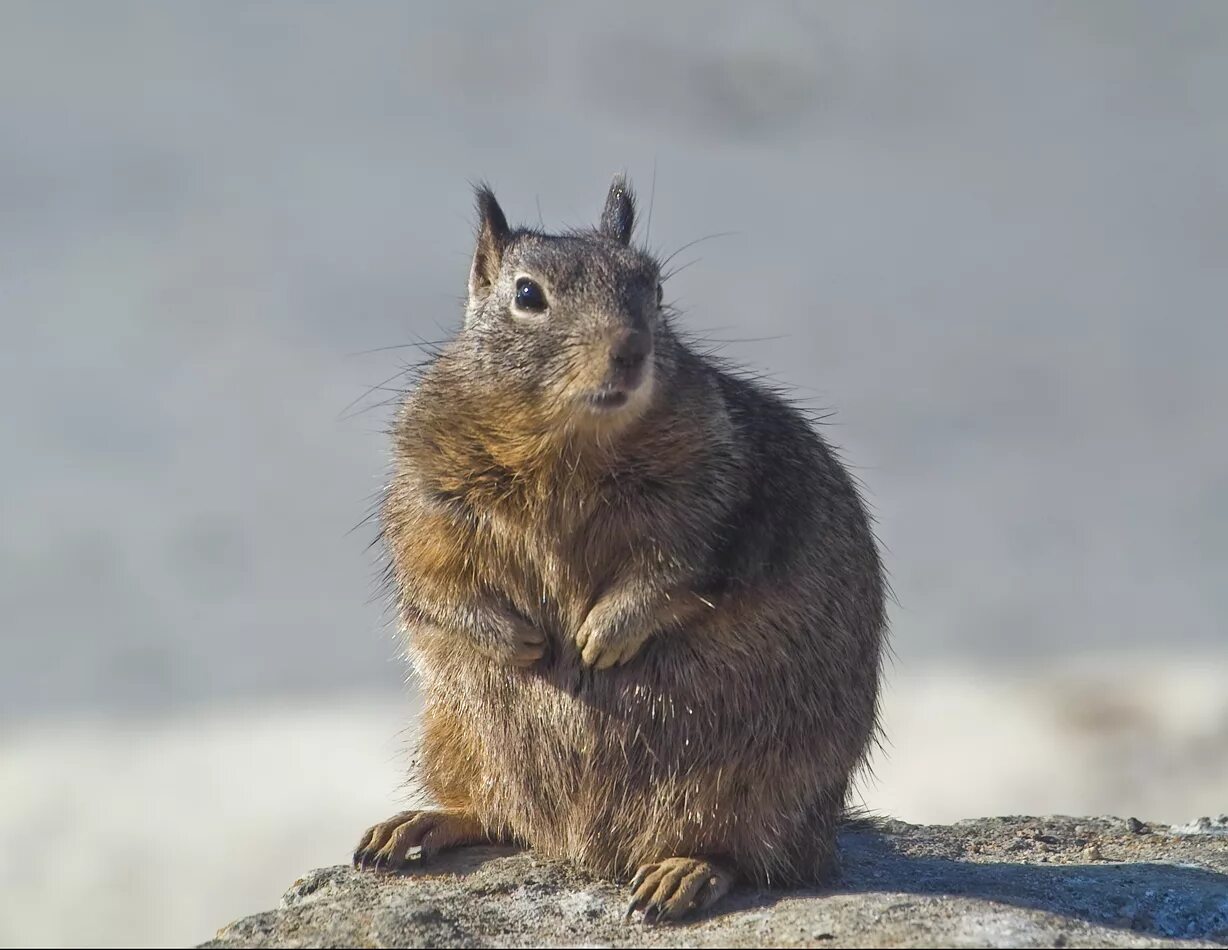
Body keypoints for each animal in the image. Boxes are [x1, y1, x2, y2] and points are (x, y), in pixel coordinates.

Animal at [351, 176, 889, 922]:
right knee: (495, 815)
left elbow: (675, 574)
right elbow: (438, 583)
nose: (631, 350)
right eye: (527, 294)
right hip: (452, 733)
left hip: (762, 784)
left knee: (751, 856)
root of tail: (583, 849)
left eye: (654, 287)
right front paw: (519, 640)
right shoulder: (428, 500)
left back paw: (682, 874)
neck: (566, 447)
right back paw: (419, 825)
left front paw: (601, 636)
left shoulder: (717, 500)